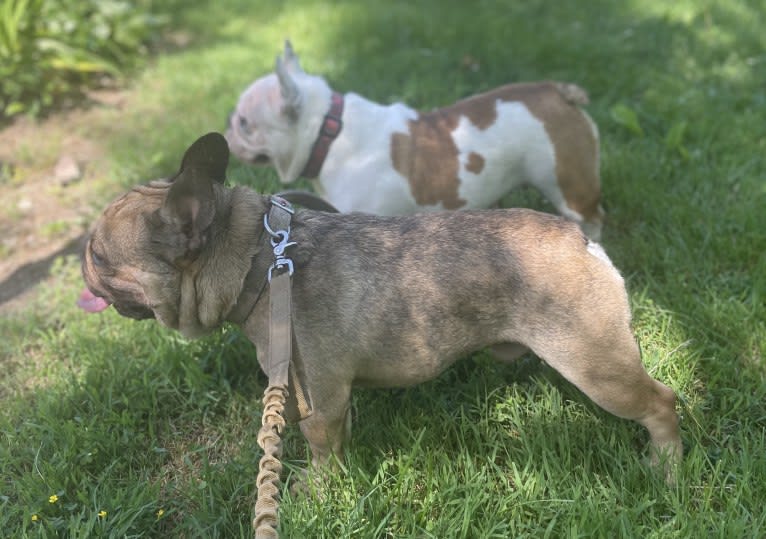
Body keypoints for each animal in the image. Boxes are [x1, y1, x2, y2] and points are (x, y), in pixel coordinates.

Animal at [226, 44, 608, 240]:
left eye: (244, 122)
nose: (228, 127)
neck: (327, 132)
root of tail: (555, 90)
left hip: (568, 184)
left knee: (590, 216)